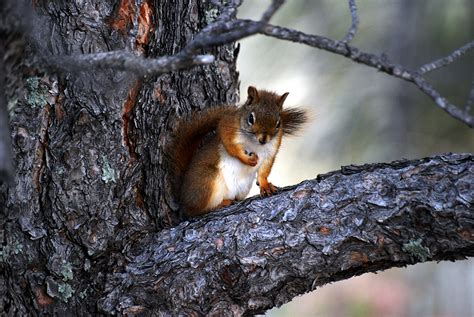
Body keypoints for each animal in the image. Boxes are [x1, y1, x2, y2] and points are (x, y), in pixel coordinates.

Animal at [169, 85, 308, 216]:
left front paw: (265, 185)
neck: (255, 143)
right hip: (207, 181)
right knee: (194, 211)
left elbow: (264, 171)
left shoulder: (271, 151)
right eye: (251, 118)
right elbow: (230, 145)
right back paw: (220, 204)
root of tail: (182, 195)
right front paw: (246, 159)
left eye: (278, 123)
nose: (263, 140)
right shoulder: (228, 126)